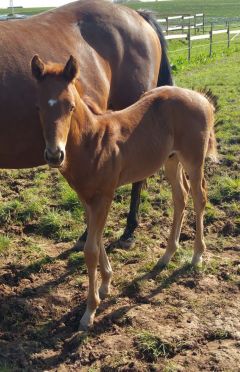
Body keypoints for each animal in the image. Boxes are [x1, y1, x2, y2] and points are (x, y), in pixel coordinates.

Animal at [31, 55, 218, 328]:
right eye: (39, 108)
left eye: (70, 106)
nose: (55, 155)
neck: (92, 141)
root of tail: (202, 98)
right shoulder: (86, 198)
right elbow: (97, 240)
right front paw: (106, 284)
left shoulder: (104, 196)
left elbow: (90, 250)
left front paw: (90, 310)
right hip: (171, 160)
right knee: (180, 197)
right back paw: (167, 255)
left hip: (194, 160)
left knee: (199, 198)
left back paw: (196, 256)